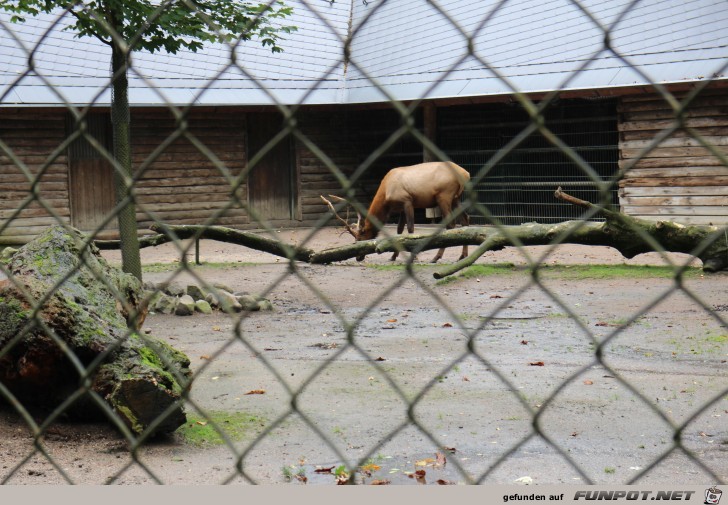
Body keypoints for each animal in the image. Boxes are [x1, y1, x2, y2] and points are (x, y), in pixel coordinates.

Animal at [324, 161, 472, 262]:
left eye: (359, 238)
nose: (358, 258)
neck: (386, 195)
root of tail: (466, 174)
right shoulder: (400, 208)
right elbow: (399, 230)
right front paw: (393, 256)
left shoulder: (407, 201)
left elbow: (410, 229)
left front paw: (414, 257)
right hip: (456, 198)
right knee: (465, 220)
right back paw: (462, 255)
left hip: (444, 196)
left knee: (451, 225)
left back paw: (436, 257)